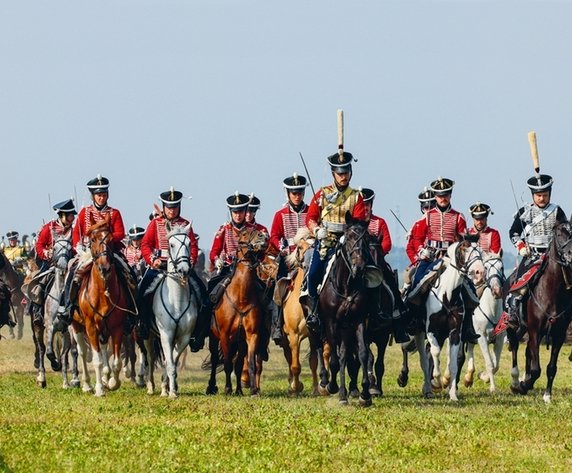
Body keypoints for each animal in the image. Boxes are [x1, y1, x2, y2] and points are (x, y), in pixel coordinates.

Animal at [71, 214, 134, 394]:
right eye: (92, 239)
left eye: (111, 239)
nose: (105, 267)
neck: (102, 291)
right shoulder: (91, 327)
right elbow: (97, 360)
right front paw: (99, 389)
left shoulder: (117, 327)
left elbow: (116, 361)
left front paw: (112, 382)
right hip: (77, 325)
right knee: (83, 352)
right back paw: (86, 384)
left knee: (105, 351)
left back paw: (106, 378)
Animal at [143, 223, 199, 396]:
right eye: (172, 245)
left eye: (189, 243)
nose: (184, 269)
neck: (177, 301)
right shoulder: (165, 334)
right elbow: (169, 362)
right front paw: (170, 392)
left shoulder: (184, 337)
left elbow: (172, 360)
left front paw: (168, 386)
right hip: (147, 336)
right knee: (150, 357)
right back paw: (150, 386)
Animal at [206, 227, 268, 396]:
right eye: (245, 234)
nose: (264, 237)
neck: (241, 297)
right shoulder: (224, 335)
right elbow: (227, 363)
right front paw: (227, 388)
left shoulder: (252, 335)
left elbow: (250, 363)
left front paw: (253, 390)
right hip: (214, 338)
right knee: (215, 359)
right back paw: (211, 387)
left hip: (240, 343)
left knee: (239, 363)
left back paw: (239, 390)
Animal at [462, 253, 508, 392]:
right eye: (486, 267)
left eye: (502, 267)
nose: (497, 290)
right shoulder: (482, 338)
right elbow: (489, 363)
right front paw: (492, 387)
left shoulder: (499, 339)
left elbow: (496, 365)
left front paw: (484, 376)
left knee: (470, 349)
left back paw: (468, 378)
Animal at [508, 221, 572, 402]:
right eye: (559, 234)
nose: (571, 254)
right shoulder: (535, 330)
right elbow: (537, 369)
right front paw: (523, 386)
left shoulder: (558, 334)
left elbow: (551, 367)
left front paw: (547, 395)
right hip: (514, 326)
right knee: (514, 345)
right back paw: (516, 380)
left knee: (527, 351)